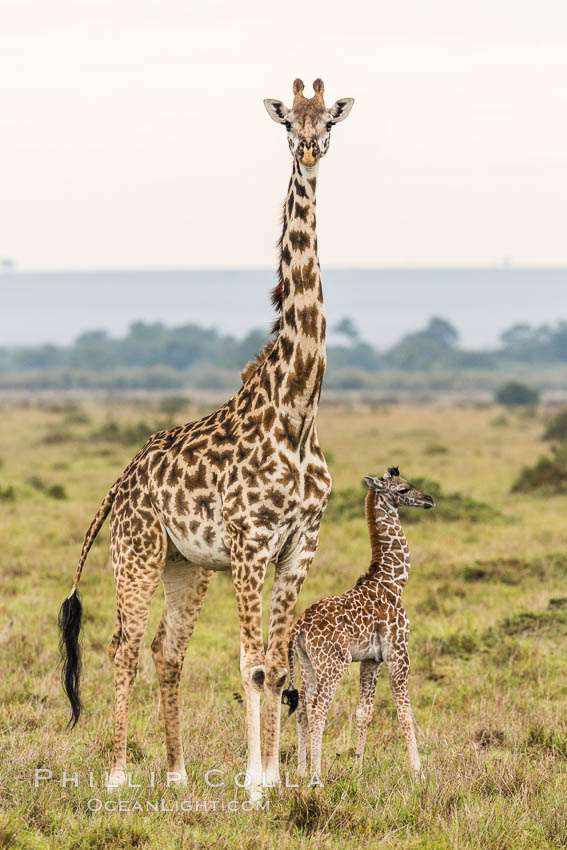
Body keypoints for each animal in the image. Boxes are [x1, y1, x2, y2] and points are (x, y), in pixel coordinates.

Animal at [61, 76, 356, 800]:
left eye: (328, 121)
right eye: (289, 122)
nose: (310, 151)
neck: (296, 409)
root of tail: (120, 482)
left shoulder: (298, 546)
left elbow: (278, 663)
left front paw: (277, 778)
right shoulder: (250, 546)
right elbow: (253, 664)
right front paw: (254, 784)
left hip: (185, 564)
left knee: (167, 650)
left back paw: (176, 771)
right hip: (136, 552)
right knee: (123, 645)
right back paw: (117, 775)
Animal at [282, 468, 434, 780]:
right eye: (402, 489)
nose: (429, 499)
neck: (393, 582)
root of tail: (299, 628)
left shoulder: (371, 659)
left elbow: (365, 712)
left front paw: (358, 769)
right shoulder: (398, 652)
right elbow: (405, 711)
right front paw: (418, 773)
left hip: (306, 662)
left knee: (302, 708)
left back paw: (302, 772)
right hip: (334, 663)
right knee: (317, 709)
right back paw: (316, 776)